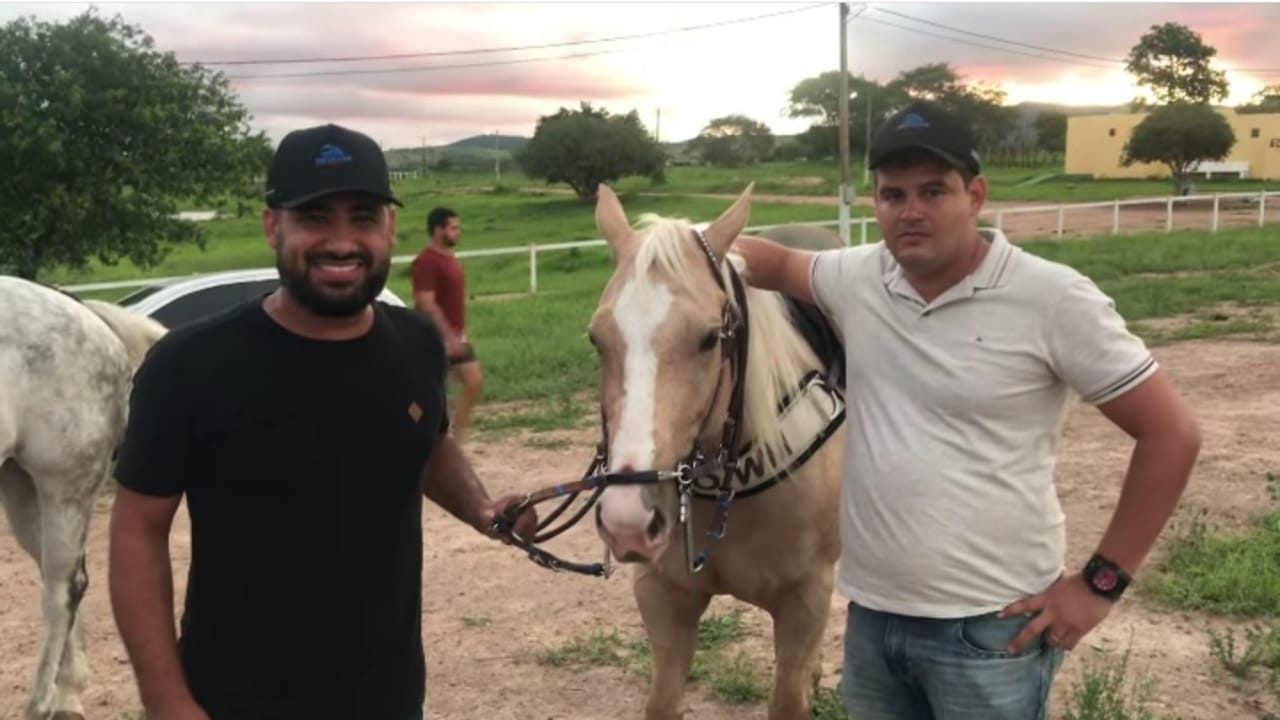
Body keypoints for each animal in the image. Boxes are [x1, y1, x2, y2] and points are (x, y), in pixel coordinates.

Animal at [0, 275, 167, 717]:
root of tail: (88, 315)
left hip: (63, 484)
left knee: (64, 588)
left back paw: (43, 703)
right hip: (21, 487)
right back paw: (67, 696)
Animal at [588, 185, 849, 717]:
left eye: (710, 338)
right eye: (596, 340)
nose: (628, 520)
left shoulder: (806, 599)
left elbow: (788, 700)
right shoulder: (662, 596)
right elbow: (662, 702)